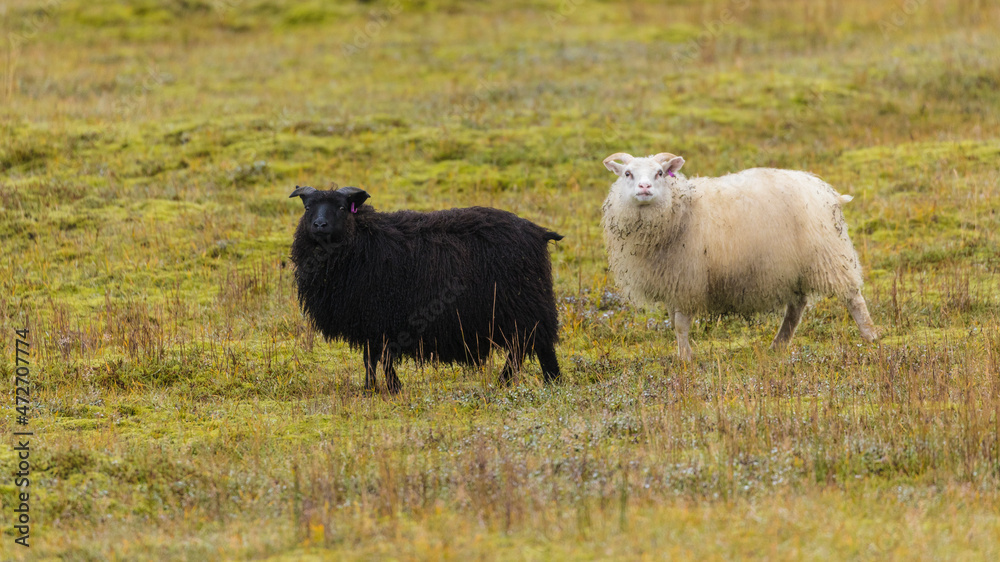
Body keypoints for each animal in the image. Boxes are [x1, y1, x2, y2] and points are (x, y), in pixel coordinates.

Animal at [289, 185, 563, 392]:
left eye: (342, 208)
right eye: (307, 207)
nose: (320, 225)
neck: (364, 240)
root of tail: (538, 232)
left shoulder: (380, 319)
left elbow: (378, 358)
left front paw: (385, 388)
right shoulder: (374, 323)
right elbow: (374, 358)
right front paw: (379, 388)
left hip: (525, 305)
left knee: (535, 346)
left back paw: (545, 381)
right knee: (522, 348)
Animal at [601, 152, 878, 361]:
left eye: (659, 173)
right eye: (627, 174)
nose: (644, 187)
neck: (680, 209)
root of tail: (825, 190)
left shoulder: (687, 281)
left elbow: (680, 324)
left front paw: (686, 359)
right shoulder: (672, 282)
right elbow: (675, 324)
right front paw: (683, 355)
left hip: (829, 256)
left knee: (853, 298)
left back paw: (871, 337)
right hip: (793, 266)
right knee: (796, 307)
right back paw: (779, 344)